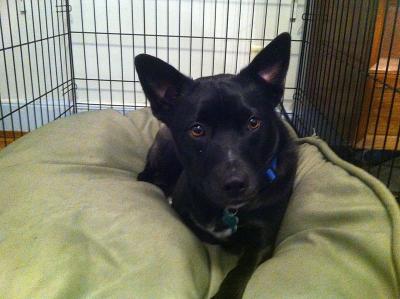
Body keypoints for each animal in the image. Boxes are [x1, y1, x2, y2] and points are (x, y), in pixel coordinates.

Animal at [134, 31, 296, 298]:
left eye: (253, 123)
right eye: (197, 130)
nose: (235, 184)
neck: (230, 210)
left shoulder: (263, 241)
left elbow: (239, 271)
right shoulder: (183, 213)